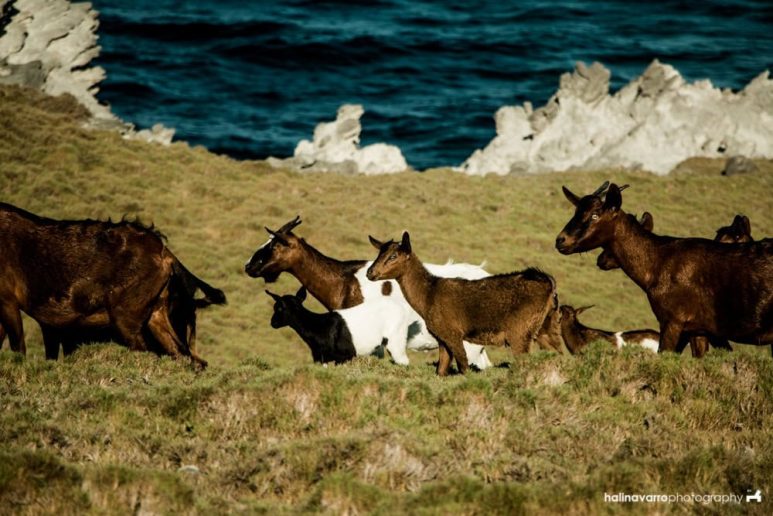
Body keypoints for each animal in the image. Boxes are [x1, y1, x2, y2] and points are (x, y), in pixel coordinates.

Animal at [266, 287, 409, 365]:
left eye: (279, 308)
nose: (273, 323)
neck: (318, 326)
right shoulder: (320, 358)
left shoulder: (344, 356)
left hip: (396, 341)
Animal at [366, 232, 556, 376]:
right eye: (379, 254)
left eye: (393, 256)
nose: (370, 272)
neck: (428, 298)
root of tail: (549, 284)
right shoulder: (442, 338)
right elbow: (441, 370)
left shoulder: (453, 333)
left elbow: (464, 367)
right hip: (540, 328)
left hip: (520, 331)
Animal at [555, 182, 773, 354]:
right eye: (576, 212)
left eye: (595, 215)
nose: (561, 240)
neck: (658, 262)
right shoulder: (698, 330)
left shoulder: (673, 322)